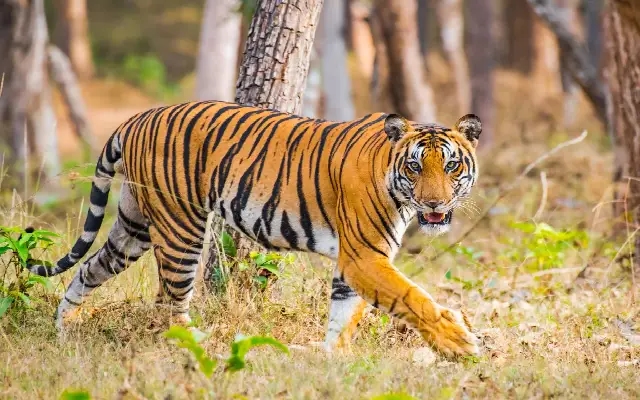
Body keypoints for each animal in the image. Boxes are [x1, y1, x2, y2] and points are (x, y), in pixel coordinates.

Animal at [27, 101, 482, 357]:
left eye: (451, 165)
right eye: (415, 166)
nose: (435, 204)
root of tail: (136, 118)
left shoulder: (356, 262)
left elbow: (344, 312)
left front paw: (332, 359)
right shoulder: (364, 256)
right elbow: (412, 297)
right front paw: (460, 343)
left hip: (133, 226)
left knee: (89, 269)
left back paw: (63, 331)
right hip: (182, 229)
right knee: (167, 303)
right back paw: (199, 344)